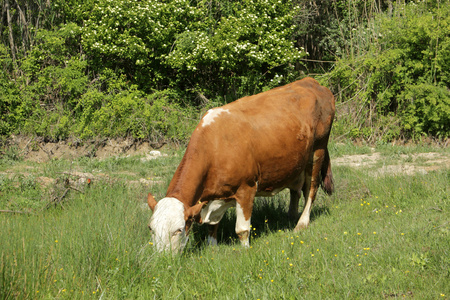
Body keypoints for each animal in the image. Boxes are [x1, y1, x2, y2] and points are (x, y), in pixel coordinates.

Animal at [148, 76, 334, 252]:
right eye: (151, 229)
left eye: (178, 230)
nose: (163, 259)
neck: (214, 146)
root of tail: (312, 82)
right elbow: (212, 225)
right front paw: (212, 247)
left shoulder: (247, 188)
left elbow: (242, 229)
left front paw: (245, 251)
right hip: (296, 161)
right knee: (296, 189)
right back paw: (291, 217)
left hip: (318, 150)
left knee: (311, 189)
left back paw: (301, 223)